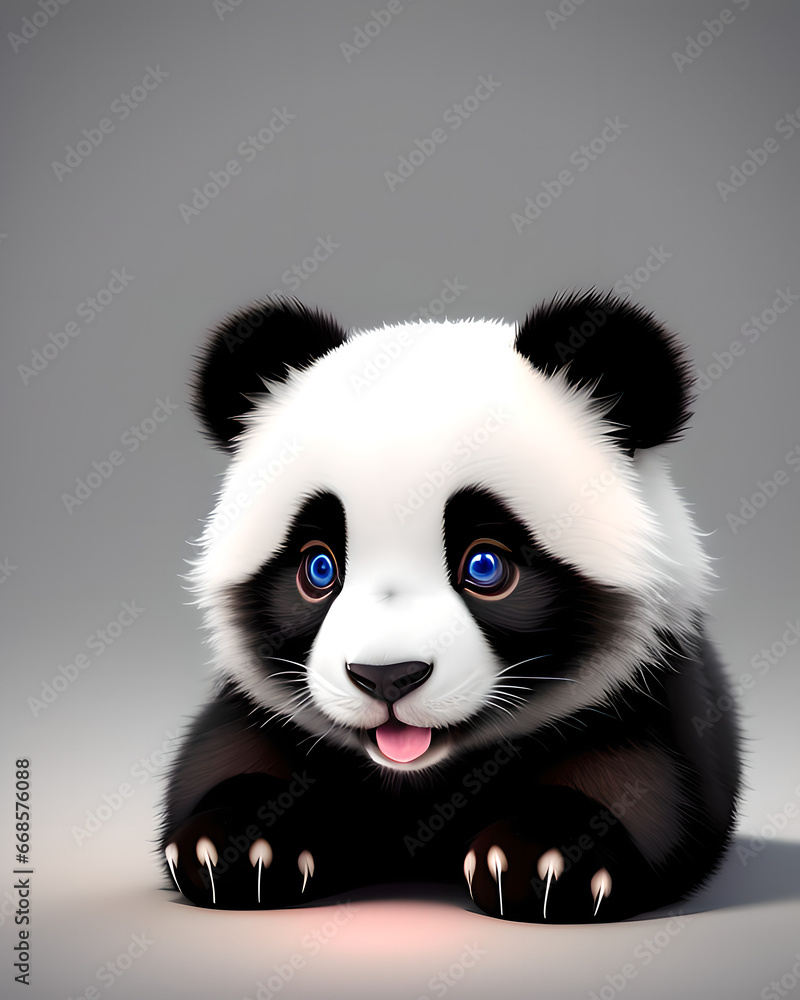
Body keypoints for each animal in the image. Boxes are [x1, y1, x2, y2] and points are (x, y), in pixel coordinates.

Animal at [159, 291, 741, 923]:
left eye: (485, 566)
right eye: (318, 569)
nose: (386, 677)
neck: (419, 778)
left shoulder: (649, 689)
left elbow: (648, 784)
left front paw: (543, 859)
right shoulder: (262, 708)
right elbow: (223, 756)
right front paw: (238, 847)